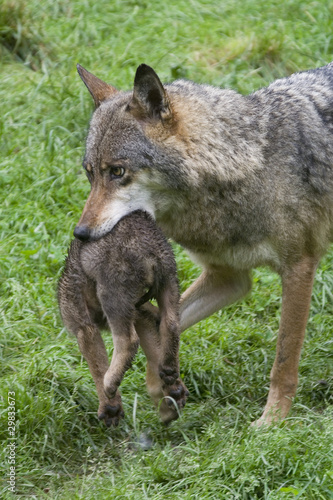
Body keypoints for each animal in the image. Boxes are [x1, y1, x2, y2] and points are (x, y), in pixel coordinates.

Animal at [58, 210, 188, 426]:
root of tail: (150, 253)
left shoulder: (83, 326)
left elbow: (97, 364)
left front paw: (110, 407)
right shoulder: (139, 314)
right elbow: (154, 351)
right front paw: (172, 394)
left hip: (112, 295)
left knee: (128, 342)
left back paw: (110, 383)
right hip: (169, 281)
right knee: (171, 325)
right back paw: (169, 369)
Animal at [73, 60, 333, 424]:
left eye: (118, 172)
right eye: (90, 174)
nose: (80, 234)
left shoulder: (299, 268)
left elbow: (284, 359)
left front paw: (273, 421)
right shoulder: (229, 278)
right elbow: (163, 326)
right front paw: (159, 387)